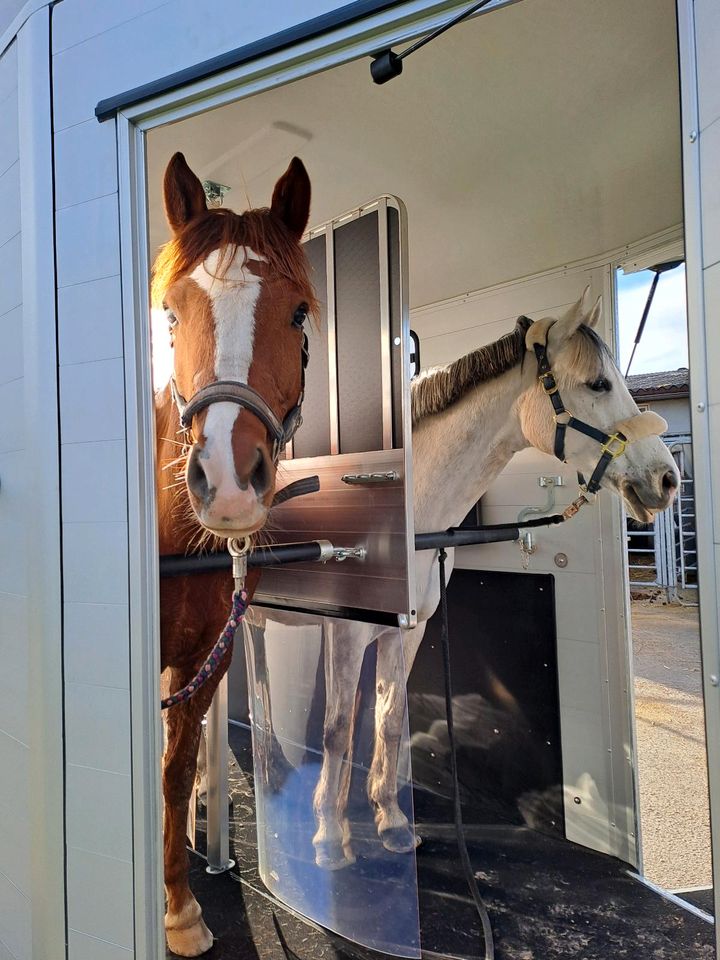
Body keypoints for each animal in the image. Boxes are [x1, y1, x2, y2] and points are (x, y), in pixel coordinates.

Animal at [310, 288, 680, 868]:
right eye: (599, 383)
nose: (667, 479)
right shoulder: (344, 629)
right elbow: (336, 728)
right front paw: (330, 838)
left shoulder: (407, 631)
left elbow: (388, 718)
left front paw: (391, 823)